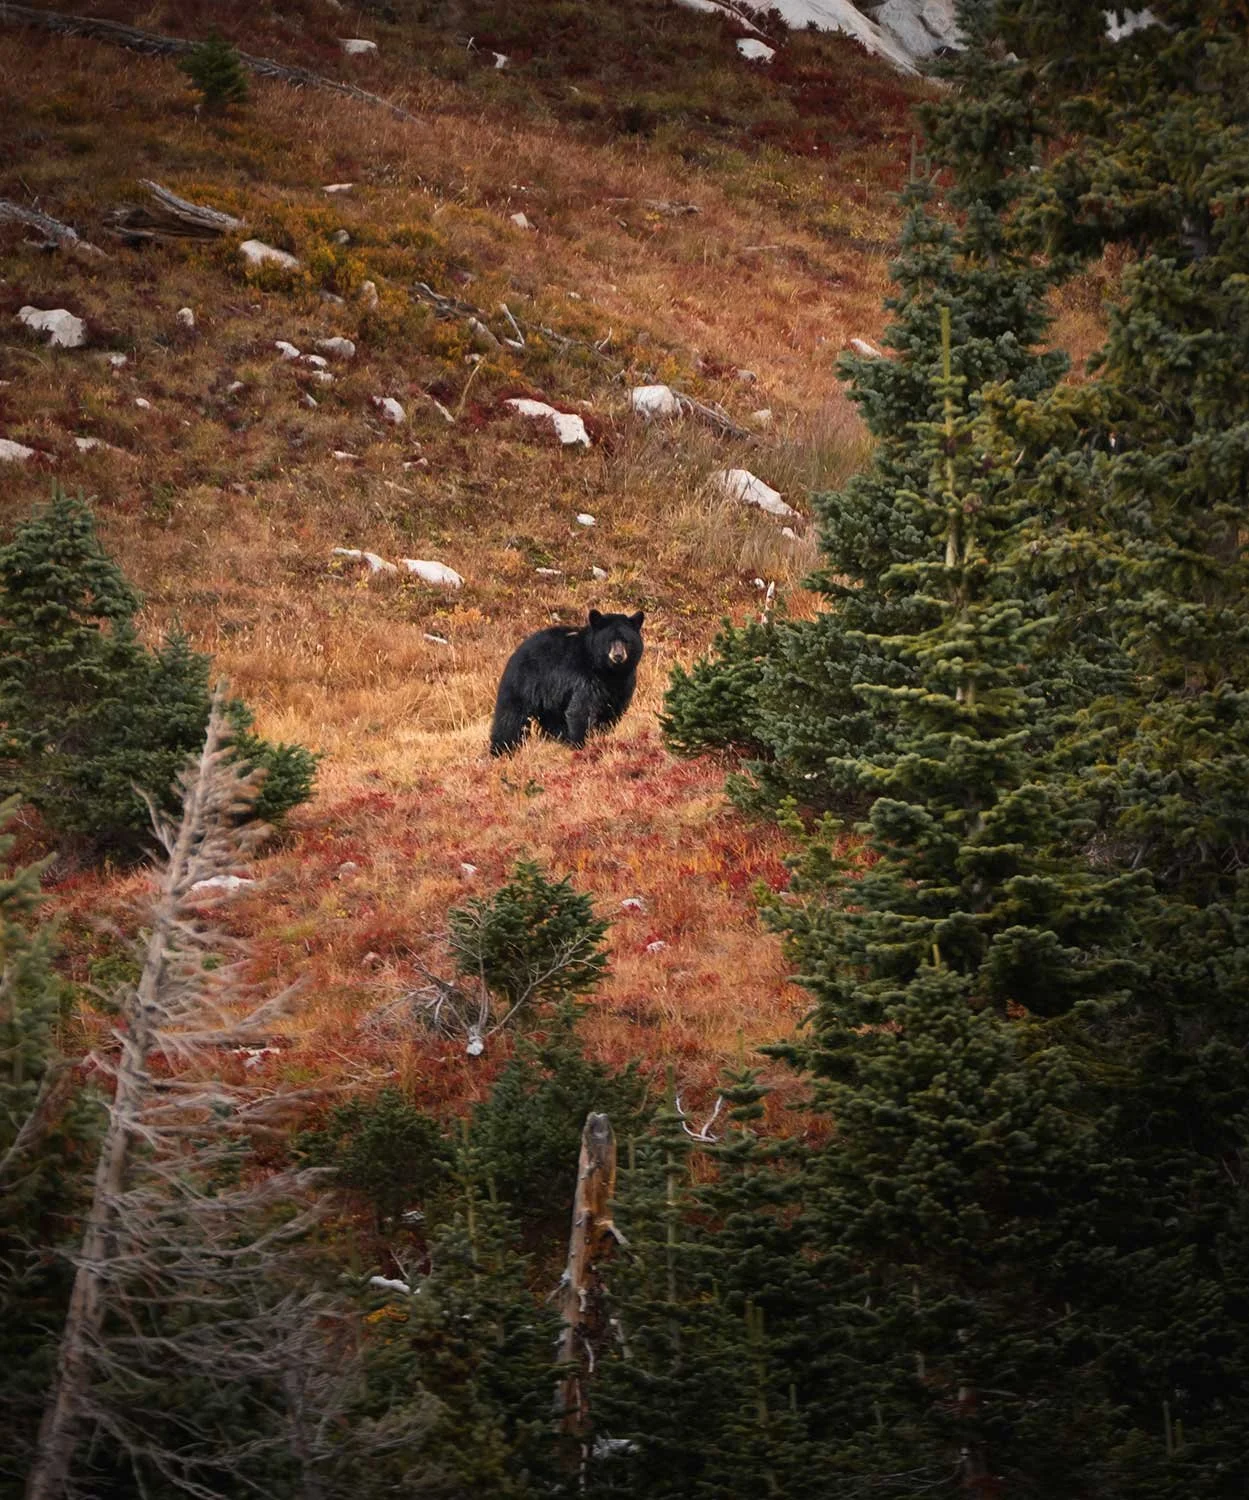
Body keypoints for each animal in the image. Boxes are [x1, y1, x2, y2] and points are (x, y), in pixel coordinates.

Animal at [489, 608, 645, 756]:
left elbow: (612, 710)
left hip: (550, 700)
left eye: (626, 641)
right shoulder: (584, 677)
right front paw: (580, 744)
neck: (608, 672)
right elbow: (581, 709)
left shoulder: (623, 683)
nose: (618, 656)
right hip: (524, 682)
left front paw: (601, 736)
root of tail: (516, 652)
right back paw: (501, 750)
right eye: (609, 640)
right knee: (510, 718)